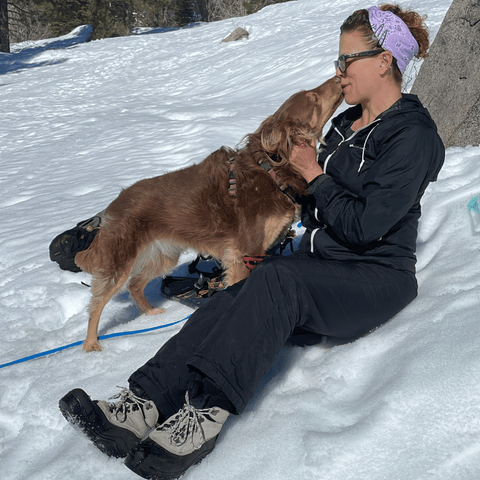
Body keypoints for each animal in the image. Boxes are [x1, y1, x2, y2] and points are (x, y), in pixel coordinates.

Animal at [77, 76, 344, 352]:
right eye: (313, 98)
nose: (338, 75)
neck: (271, 171)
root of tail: (114, 205)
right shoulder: (243, 255)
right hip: (121, 262)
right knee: (98, 303)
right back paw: (91, 344)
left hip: (164, 256)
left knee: (135, 284)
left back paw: (151, 314)